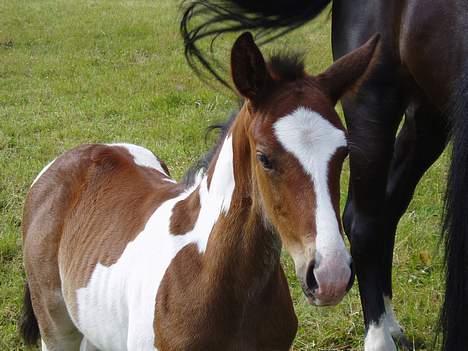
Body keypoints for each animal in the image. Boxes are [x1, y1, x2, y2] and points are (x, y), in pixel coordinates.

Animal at [182, 0, 468, 351]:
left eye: (343, 152)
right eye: (264, 158)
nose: (331, 277)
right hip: (376, 96)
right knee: (366, 222)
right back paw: (380, 336)